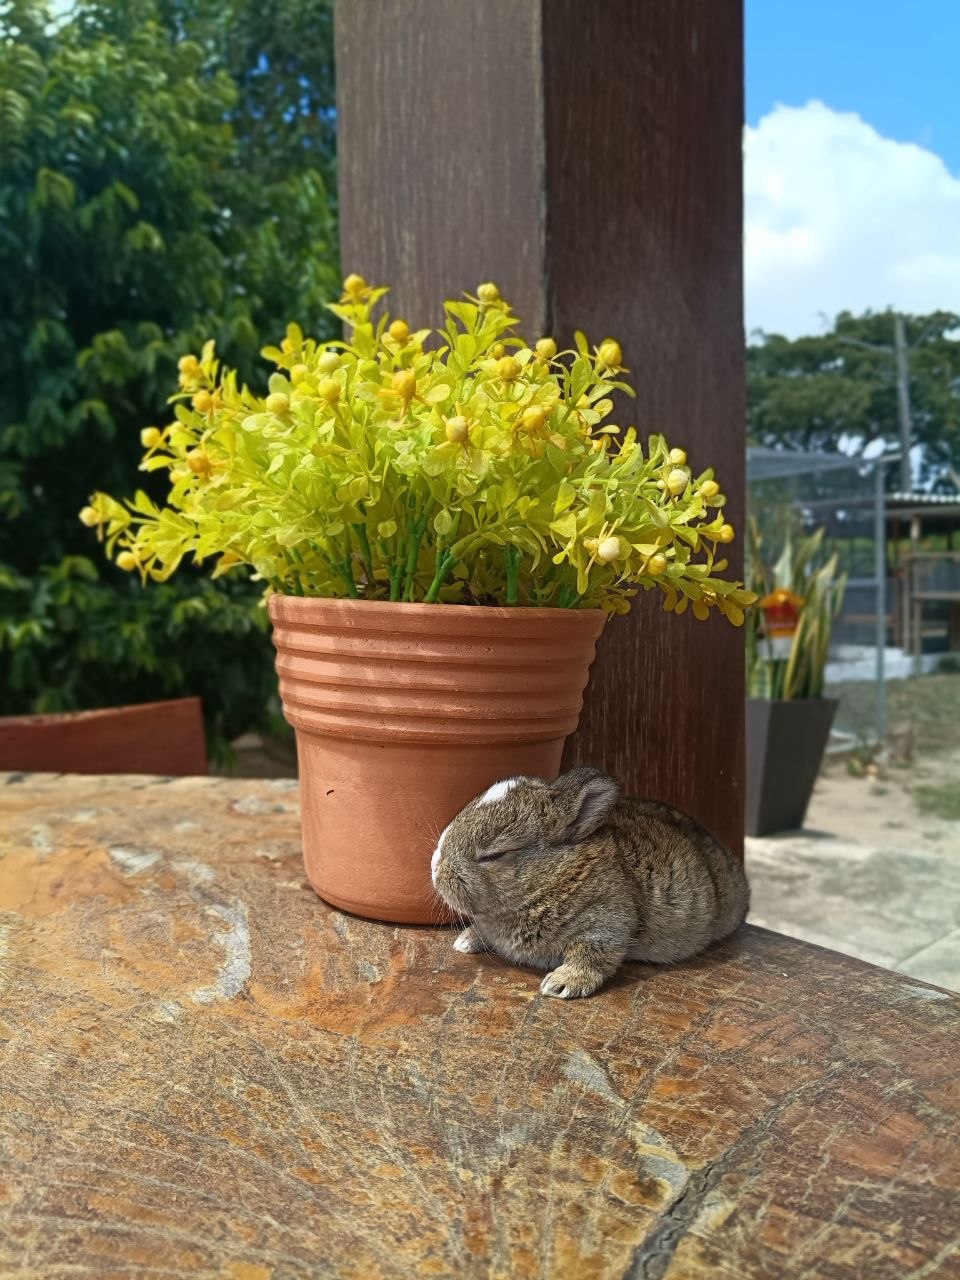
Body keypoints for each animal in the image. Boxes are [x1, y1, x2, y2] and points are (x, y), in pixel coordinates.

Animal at [431, 765, 749, 999]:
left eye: (494, 855)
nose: (435, 870)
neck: (551, 876)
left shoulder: (605, 924)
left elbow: (591, 956)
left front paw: (560, 985)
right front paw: (465, 941)